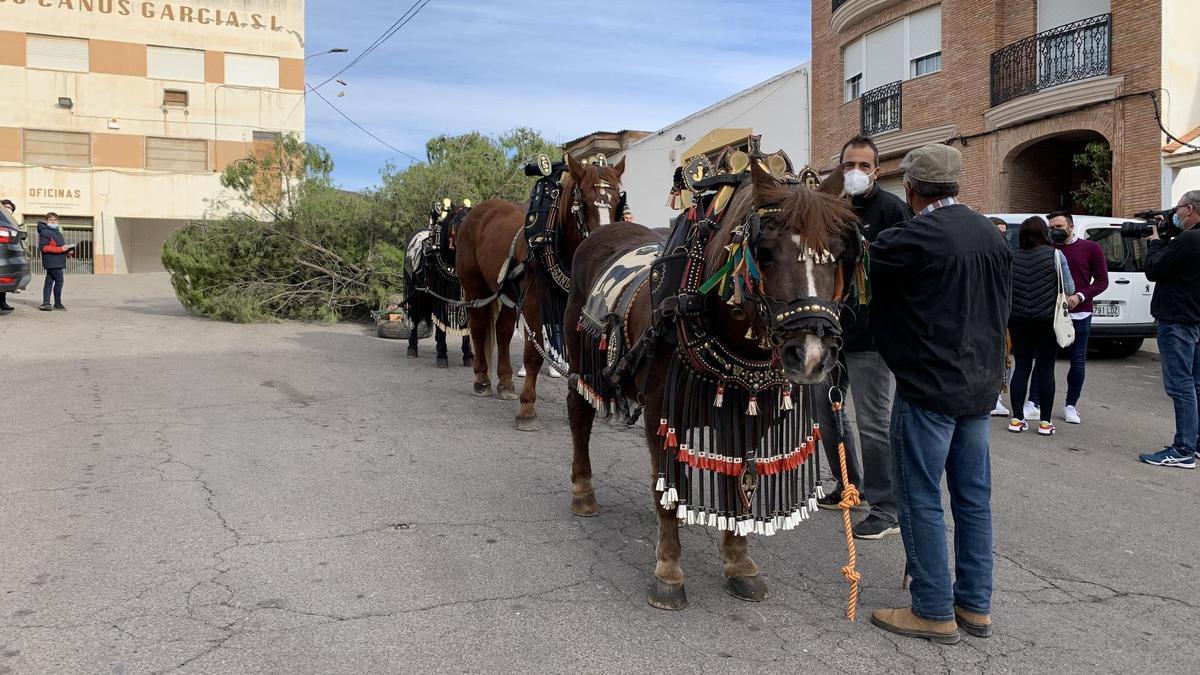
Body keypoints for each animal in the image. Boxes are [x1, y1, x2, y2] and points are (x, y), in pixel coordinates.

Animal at [451, 156, 628, 422]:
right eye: (584, 201)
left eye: (618, 200)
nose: (606, 246)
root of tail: (477, 212)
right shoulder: (534, 304)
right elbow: (534, 355)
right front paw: (527, 408)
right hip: (475, 287)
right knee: (479, 328)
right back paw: (482, 380)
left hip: (509, 294)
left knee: (502, 331)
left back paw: (505, 383)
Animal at [564, 159, 859, 607]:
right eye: (764, 252)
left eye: (838, 254)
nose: (811, 353)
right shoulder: (660, 412)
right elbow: (665, 492)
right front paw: (669, 571)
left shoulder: (747, 418)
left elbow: (737, 482)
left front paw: (739, 563)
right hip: (580, 360)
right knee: (580, 417)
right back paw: (583, 491)